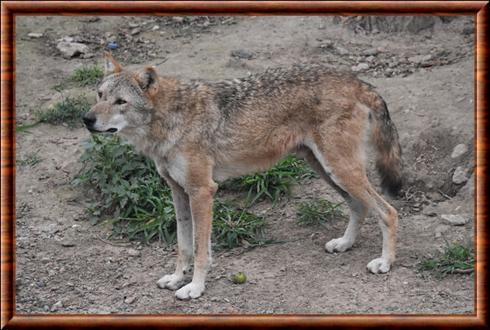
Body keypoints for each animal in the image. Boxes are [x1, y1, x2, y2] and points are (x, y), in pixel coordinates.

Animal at [83, 51, 402, 300]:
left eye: (121, 102)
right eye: (100, 95)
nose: (86, 119)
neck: (170, 118)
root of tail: (356, 81)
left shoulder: (202, 191)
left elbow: (200, 251)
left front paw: (194, 288)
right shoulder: (178, 192)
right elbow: (183, 246)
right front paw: (176, 279)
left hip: (340, 170)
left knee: (388, 211)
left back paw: (385, 263)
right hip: (326, 170)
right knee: (360, 206)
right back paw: (344, 244)